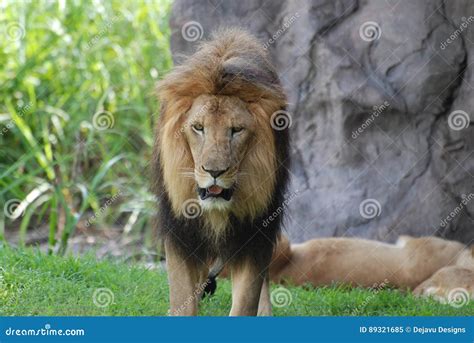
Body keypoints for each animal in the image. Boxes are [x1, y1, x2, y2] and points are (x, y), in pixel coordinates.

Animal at [154, 29, 290, 318]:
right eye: (198, 127)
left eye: (236, 130)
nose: (214, 171)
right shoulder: (181, 232)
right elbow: (182, 297)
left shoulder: (254, 233)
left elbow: (246, 299)